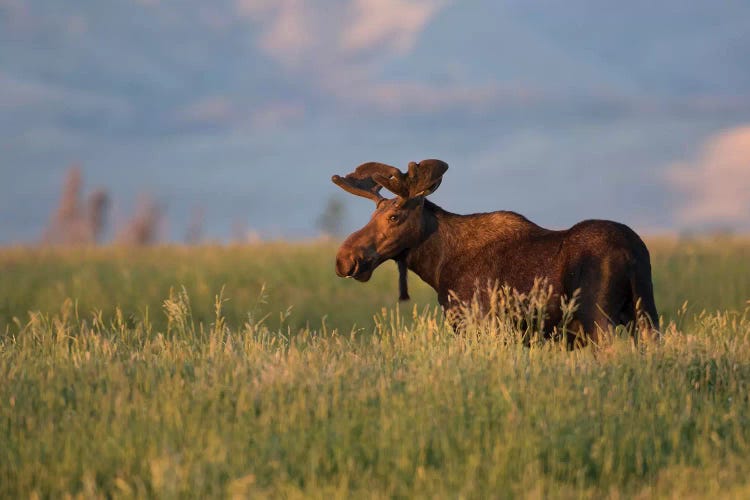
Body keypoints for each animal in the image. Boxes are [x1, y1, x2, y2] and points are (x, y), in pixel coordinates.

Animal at [332, 160, 660, 348]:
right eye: (372, 214)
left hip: (599, 318)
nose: (344, 258)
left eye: (394, 217)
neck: (436, 266)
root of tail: (632, 253)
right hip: (645, 313)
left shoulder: (474, 323)